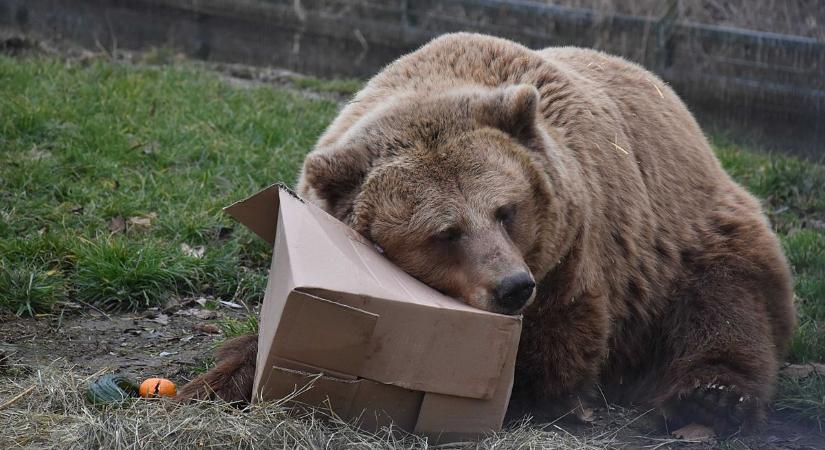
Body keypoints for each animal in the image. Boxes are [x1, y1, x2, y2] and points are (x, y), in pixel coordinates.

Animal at [177, 32, 796, 436]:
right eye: (445, 232)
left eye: (506, 210)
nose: (513, 286)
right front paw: (211, 380)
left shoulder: (574, 258)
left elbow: (549, 363)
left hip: (686, 236)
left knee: (726, 305)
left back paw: (712, 398)